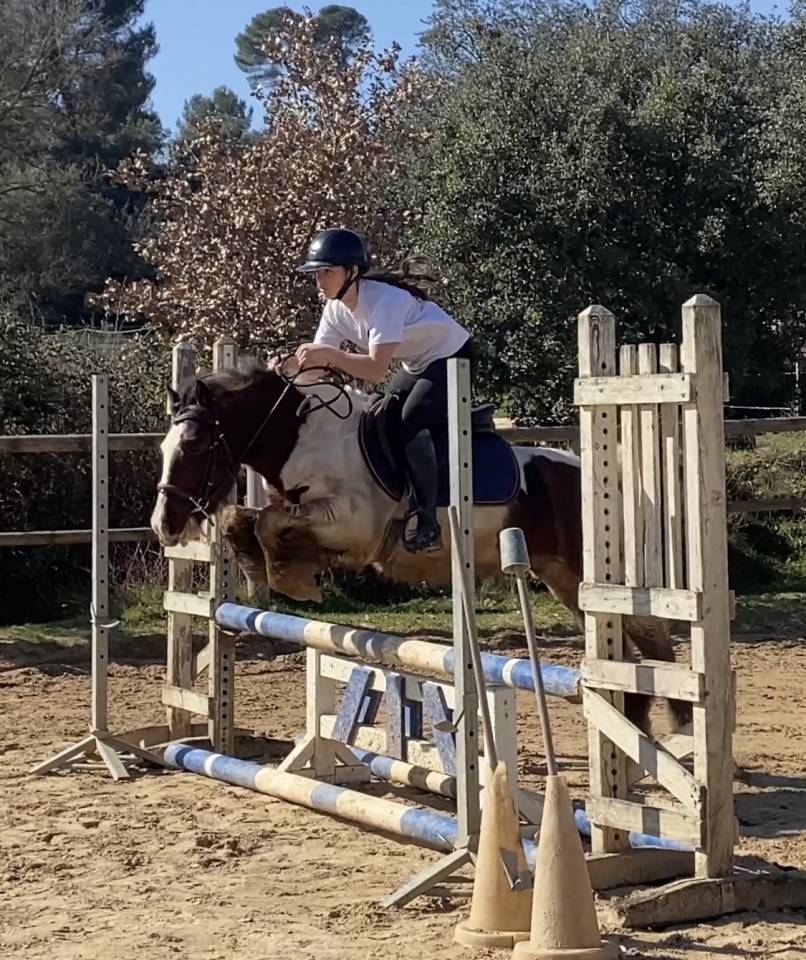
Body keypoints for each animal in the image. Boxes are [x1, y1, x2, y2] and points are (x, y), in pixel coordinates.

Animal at [151, 361, 690, 735]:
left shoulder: (354, 525)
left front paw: (291, 577)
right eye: (162, 448)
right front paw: (267, 565)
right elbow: (249, 519)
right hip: (562, 579)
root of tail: (614, 484)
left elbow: (269, 523)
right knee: (628, 652)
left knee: (654, 646)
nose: (163, 525)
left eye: (195, 446)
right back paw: (636, 727)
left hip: (597, 576)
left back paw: (676, 732)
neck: (300, 436)